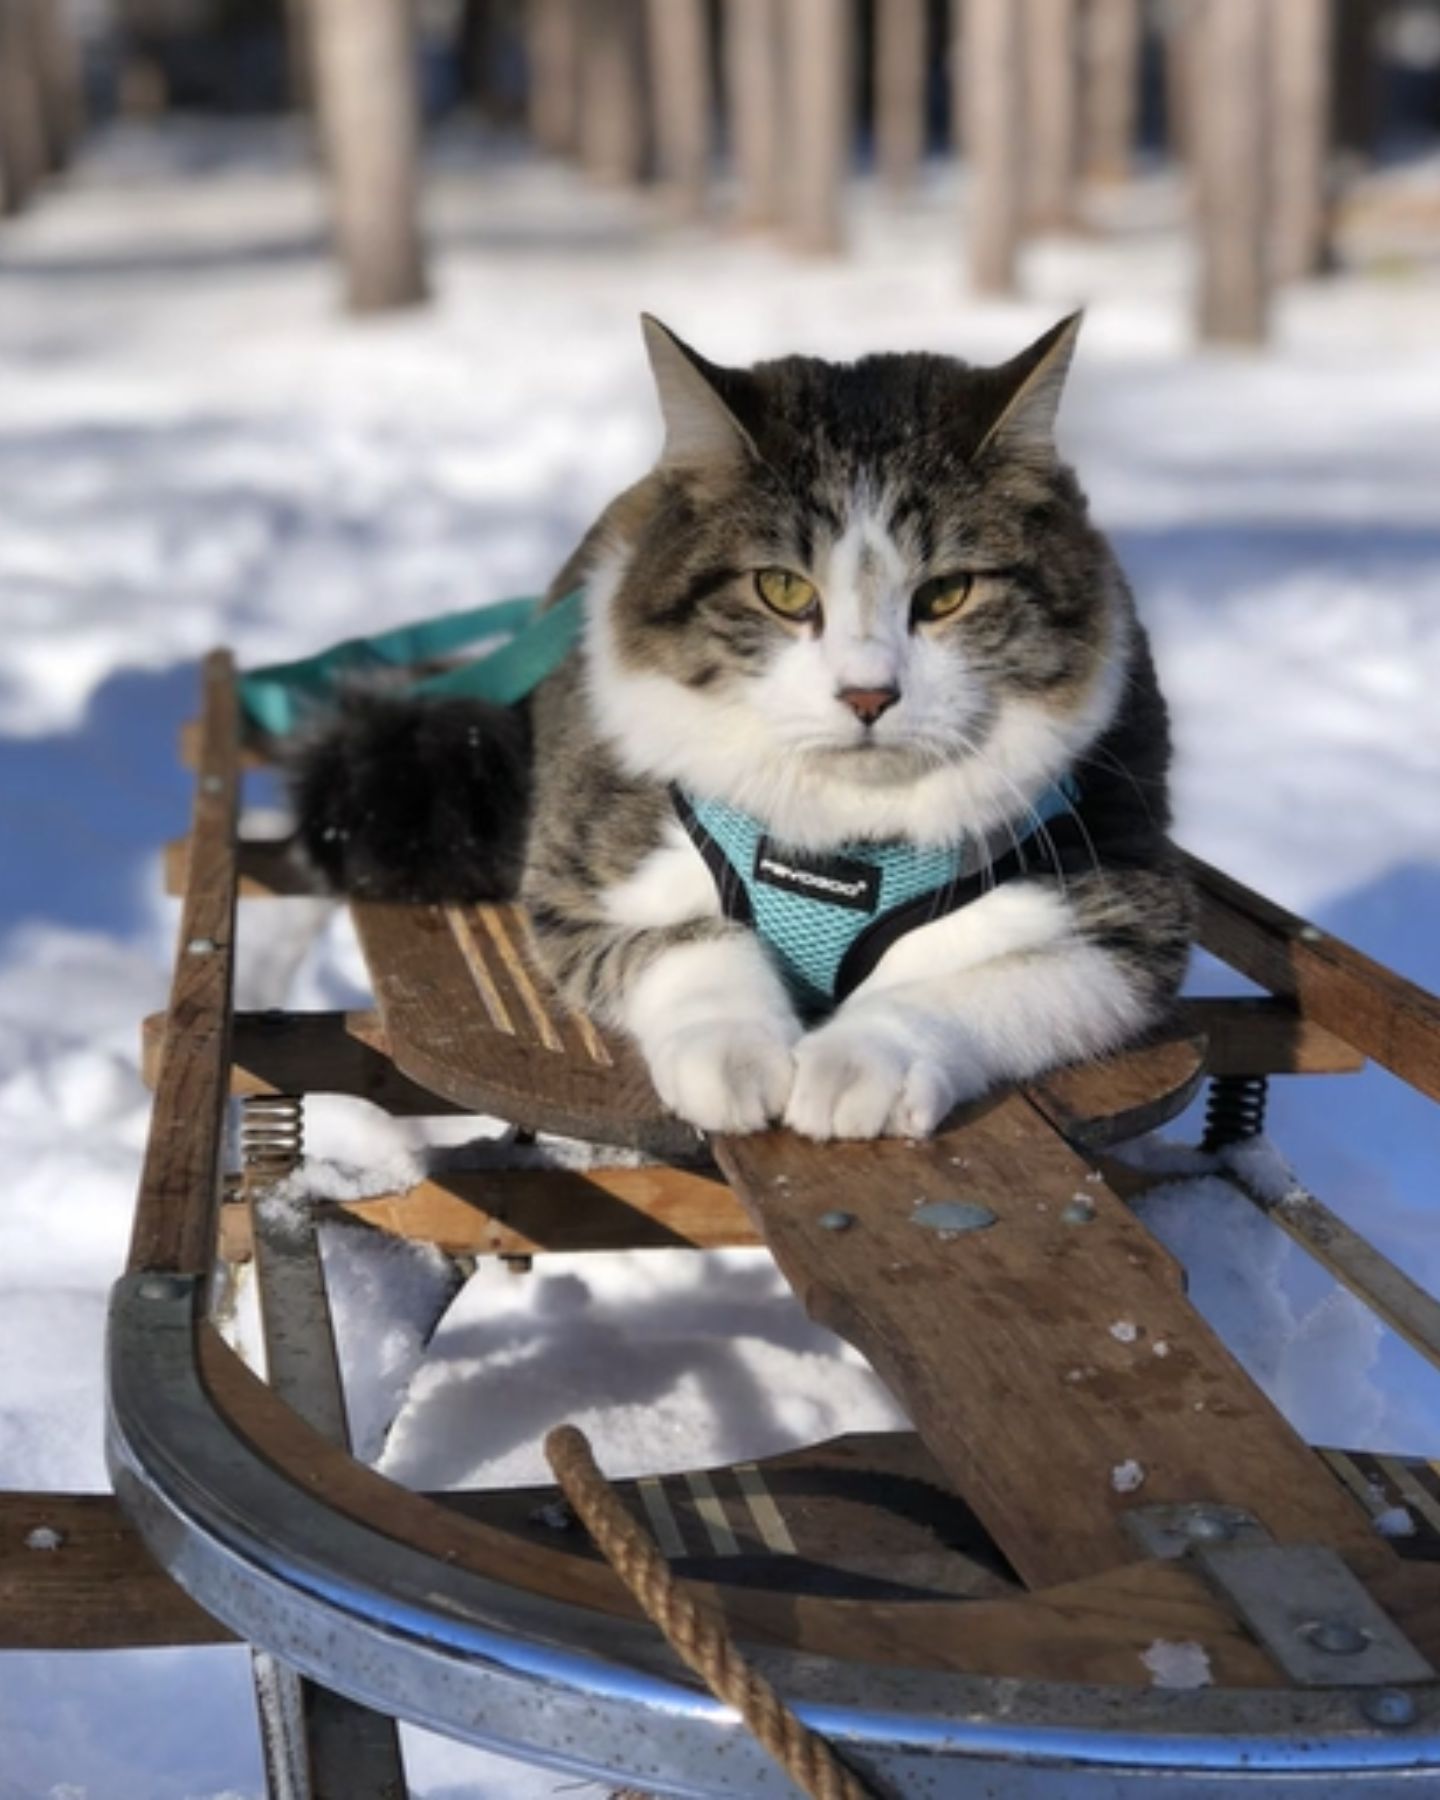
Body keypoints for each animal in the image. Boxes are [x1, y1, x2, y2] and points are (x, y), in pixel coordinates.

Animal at [295, 318, 1195, 1137]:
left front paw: (862, 1063)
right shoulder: (580, 877)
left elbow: (967, 984)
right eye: (784, 590)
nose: (868, 695)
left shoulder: (1126, 911)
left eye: (946, 594)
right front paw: (732, 1057)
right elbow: (691, 942)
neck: (841, 839)